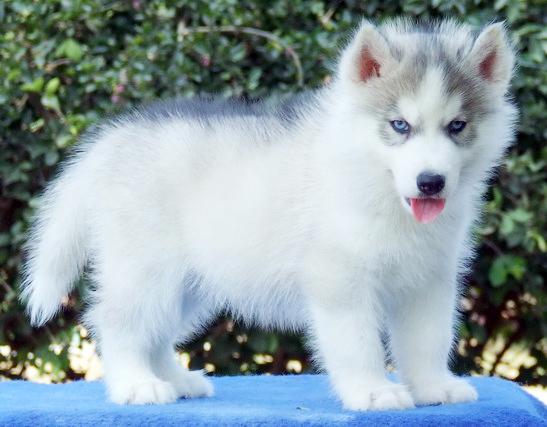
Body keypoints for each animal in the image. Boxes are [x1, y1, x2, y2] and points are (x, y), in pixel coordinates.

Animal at [21, 18, 517, 410]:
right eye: (400, 126)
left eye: (458, 126)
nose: (431, 182)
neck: (378, 189)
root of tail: (113, 139)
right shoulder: (341, 280)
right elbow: (358, 343)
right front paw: (373, 391)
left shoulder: (430, 279)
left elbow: (428, 340)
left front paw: (434, 387)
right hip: (146, 269)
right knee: (119, 322)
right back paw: (136, 384)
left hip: (189, 284)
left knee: (156, 333)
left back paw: (175, 380)